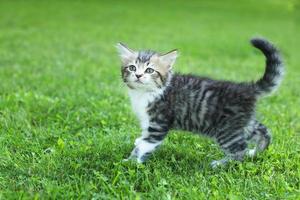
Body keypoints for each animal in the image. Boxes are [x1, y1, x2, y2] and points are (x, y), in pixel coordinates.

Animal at [116, 38, 284, 168]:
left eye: (150, 70)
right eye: (132, 68)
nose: (138, 75)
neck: (145, 93)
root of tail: (247, 88)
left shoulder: (158, 124)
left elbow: (145, 145)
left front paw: (130, 162)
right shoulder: (147, 121)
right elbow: (143, 139)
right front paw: (137, 145)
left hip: (226, 130)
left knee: (239, 150)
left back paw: (221, 164)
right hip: (242, 124)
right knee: (263, 130)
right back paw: (255, 152)